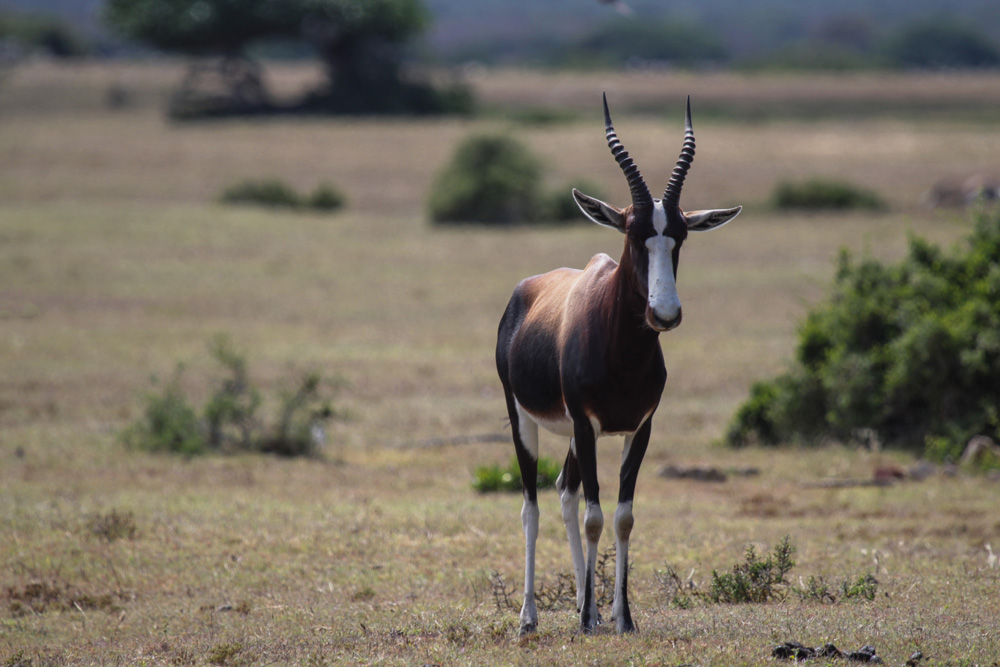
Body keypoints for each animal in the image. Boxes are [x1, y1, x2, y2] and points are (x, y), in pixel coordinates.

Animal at [495, 95, 742, 635]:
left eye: (679, 236)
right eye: (633, 233)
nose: (665, 314)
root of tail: (523, 291)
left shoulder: (639, 427)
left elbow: (623, 516)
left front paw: (620, 616)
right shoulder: (586, 425)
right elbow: (594, 516)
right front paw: (592, 617)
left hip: (569, 433)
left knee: (565, 492)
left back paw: (580, 609)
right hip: (525, 419)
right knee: (532, 506)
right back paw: (529, 618)